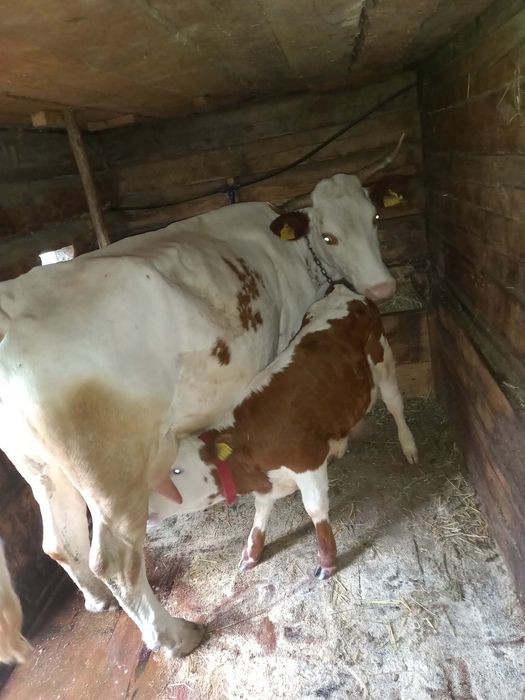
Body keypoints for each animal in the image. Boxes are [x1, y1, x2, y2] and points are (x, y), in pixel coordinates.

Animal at [149, 284, 417, 580]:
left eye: (176, 471)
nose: (144, 511)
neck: (250, 444)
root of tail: (341, 289)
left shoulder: (307, 464)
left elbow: (315, 510)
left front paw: (327, 561)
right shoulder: (268, 482)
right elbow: (260, 513)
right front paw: (251, 554)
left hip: (383, 358)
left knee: (394, 403)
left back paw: (409, 446)